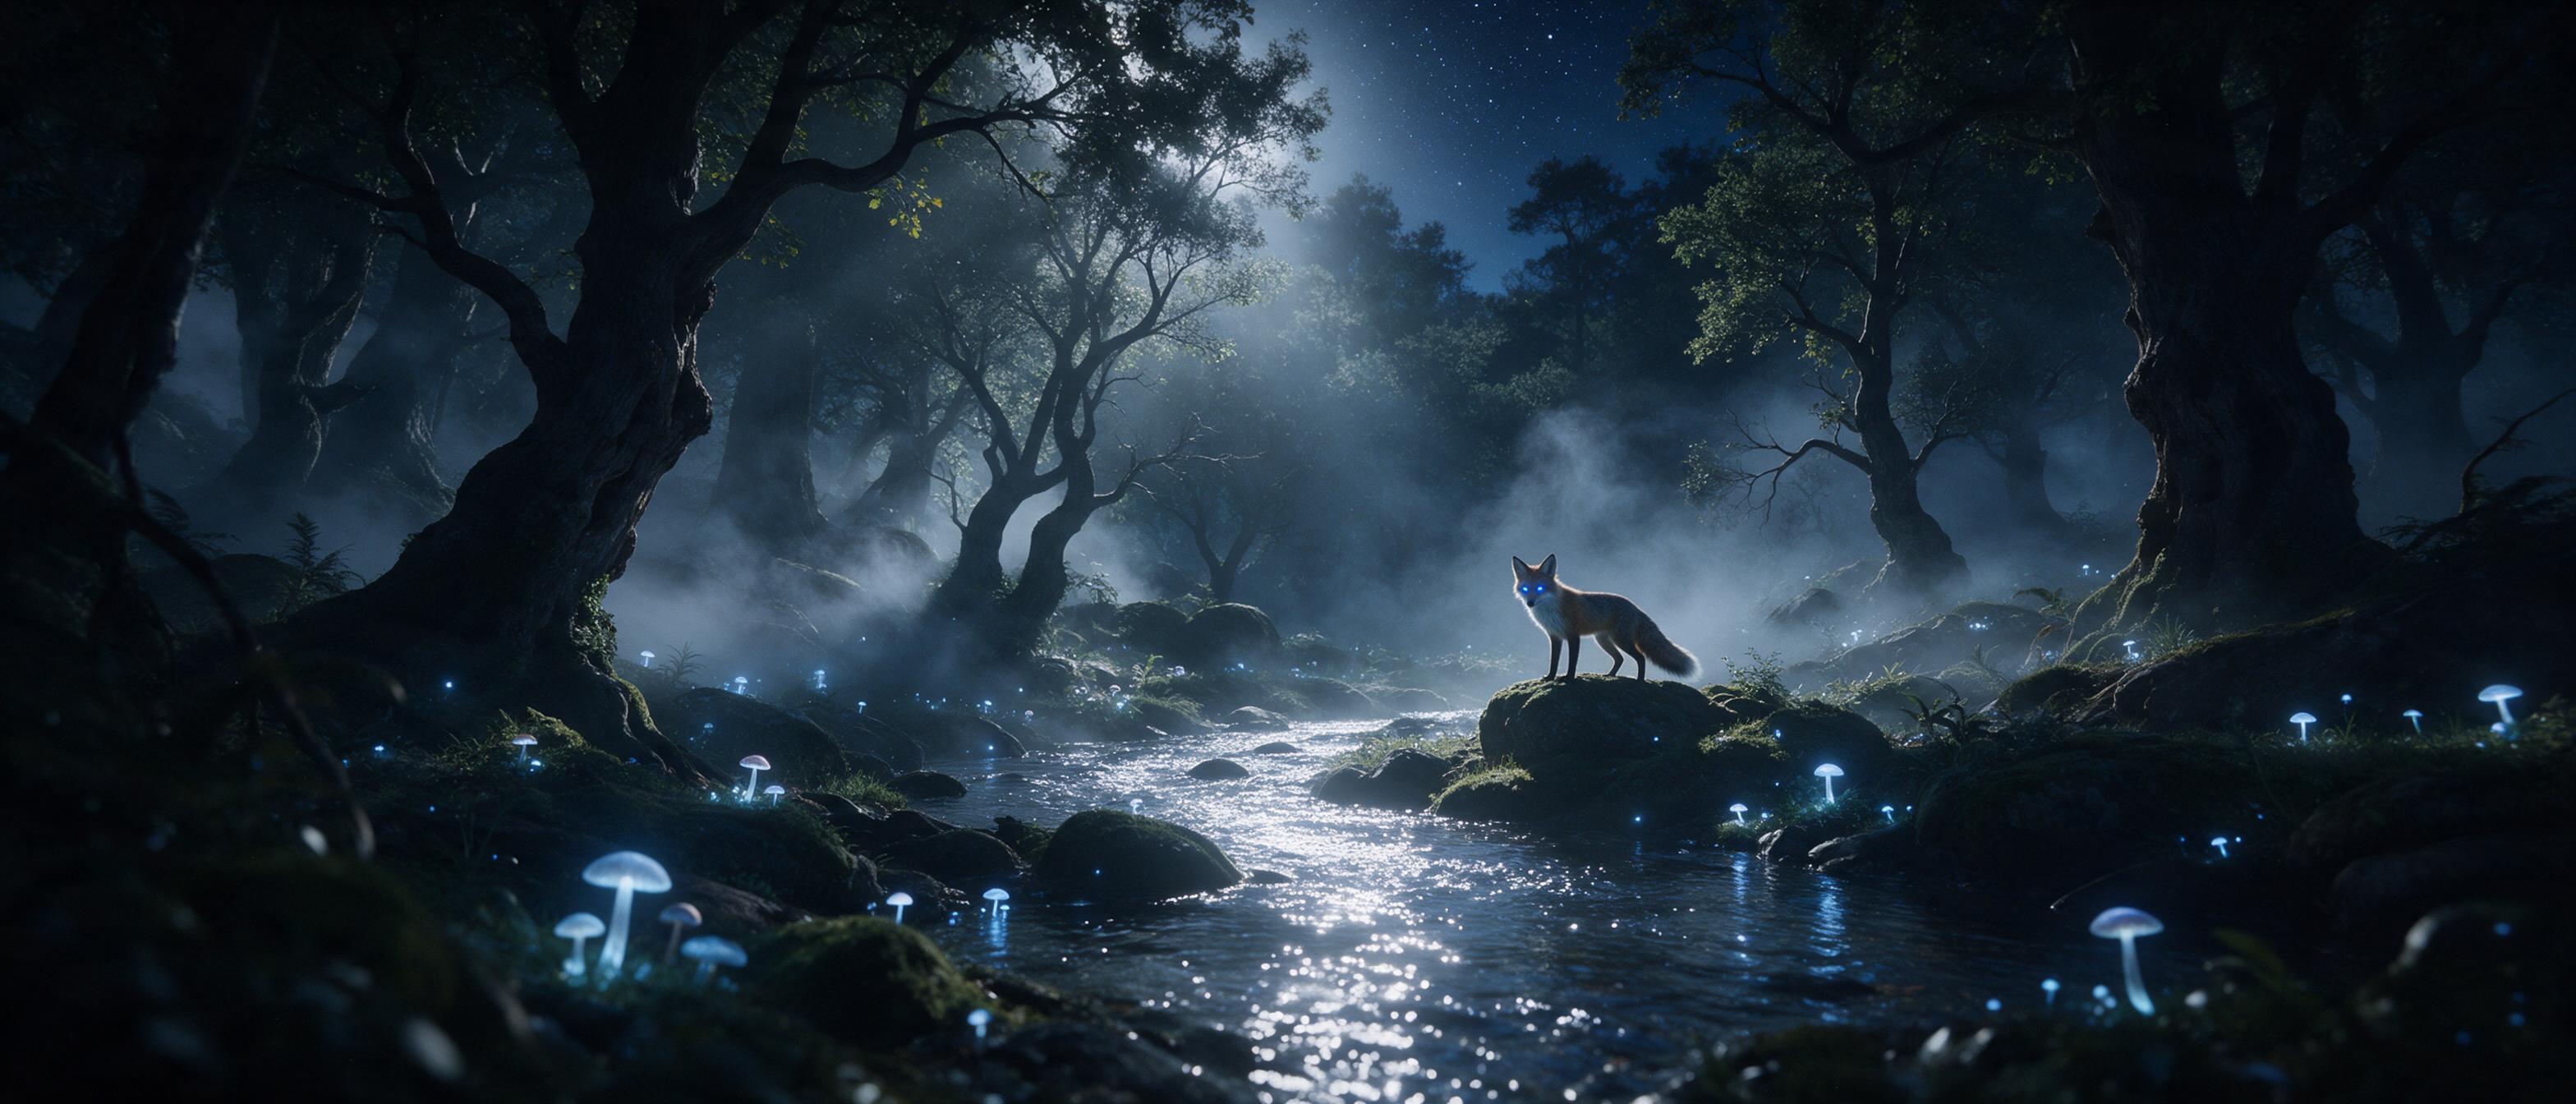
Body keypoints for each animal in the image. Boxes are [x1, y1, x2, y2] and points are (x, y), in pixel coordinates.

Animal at [1510, 554, 1700, 682]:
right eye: (1526, 589)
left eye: (1540, 588)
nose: (1530, 603)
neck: (1550, 609)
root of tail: (1636, 607)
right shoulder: (1555, 636)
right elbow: (1554, 662)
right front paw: (1550, 677)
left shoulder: (1573, 635)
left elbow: (1572, 662)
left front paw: (1569, 679)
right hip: (1603, 641)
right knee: (1620, 659)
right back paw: (1610, 675)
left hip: (1620, 640)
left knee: (1641, 658)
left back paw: (1639, 681)